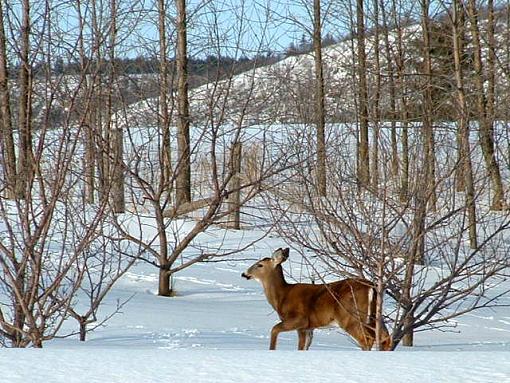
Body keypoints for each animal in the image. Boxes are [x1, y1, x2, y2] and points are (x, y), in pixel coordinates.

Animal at [241, 249, 392, 352]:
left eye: (259, 265)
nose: (244, 273)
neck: (282, 296)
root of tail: (372, 287)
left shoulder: (300, 319)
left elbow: (274, 329)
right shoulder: (309, 327)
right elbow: (303, 347)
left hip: (350, 316)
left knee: (367, 339)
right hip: (375, 315)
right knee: (385, 338)